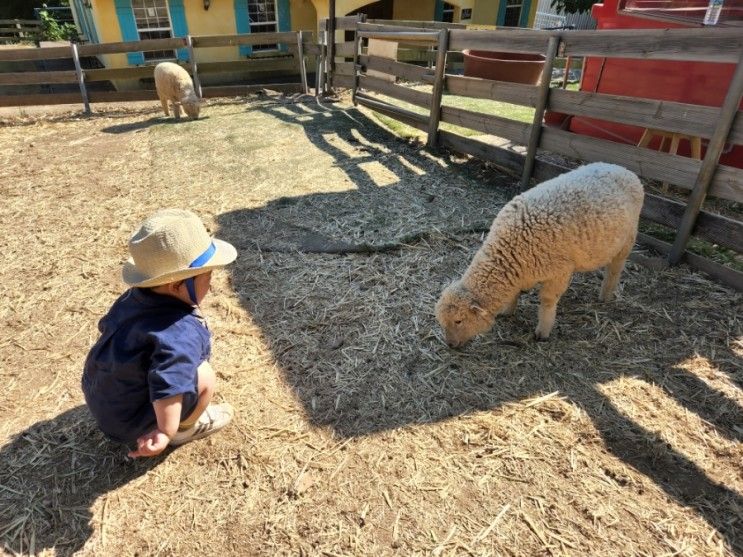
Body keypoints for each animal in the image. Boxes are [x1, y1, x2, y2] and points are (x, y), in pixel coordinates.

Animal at [436, 161, 644, 346]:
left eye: (459, 321)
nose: (450, 345)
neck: (512, 245)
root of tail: (623, 169)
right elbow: (515, 293)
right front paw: (507, 311)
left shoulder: (558, 272)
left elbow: (547, 301)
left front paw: (543, 331)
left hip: (627, 241)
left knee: (615, 270)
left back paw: (605, 295)